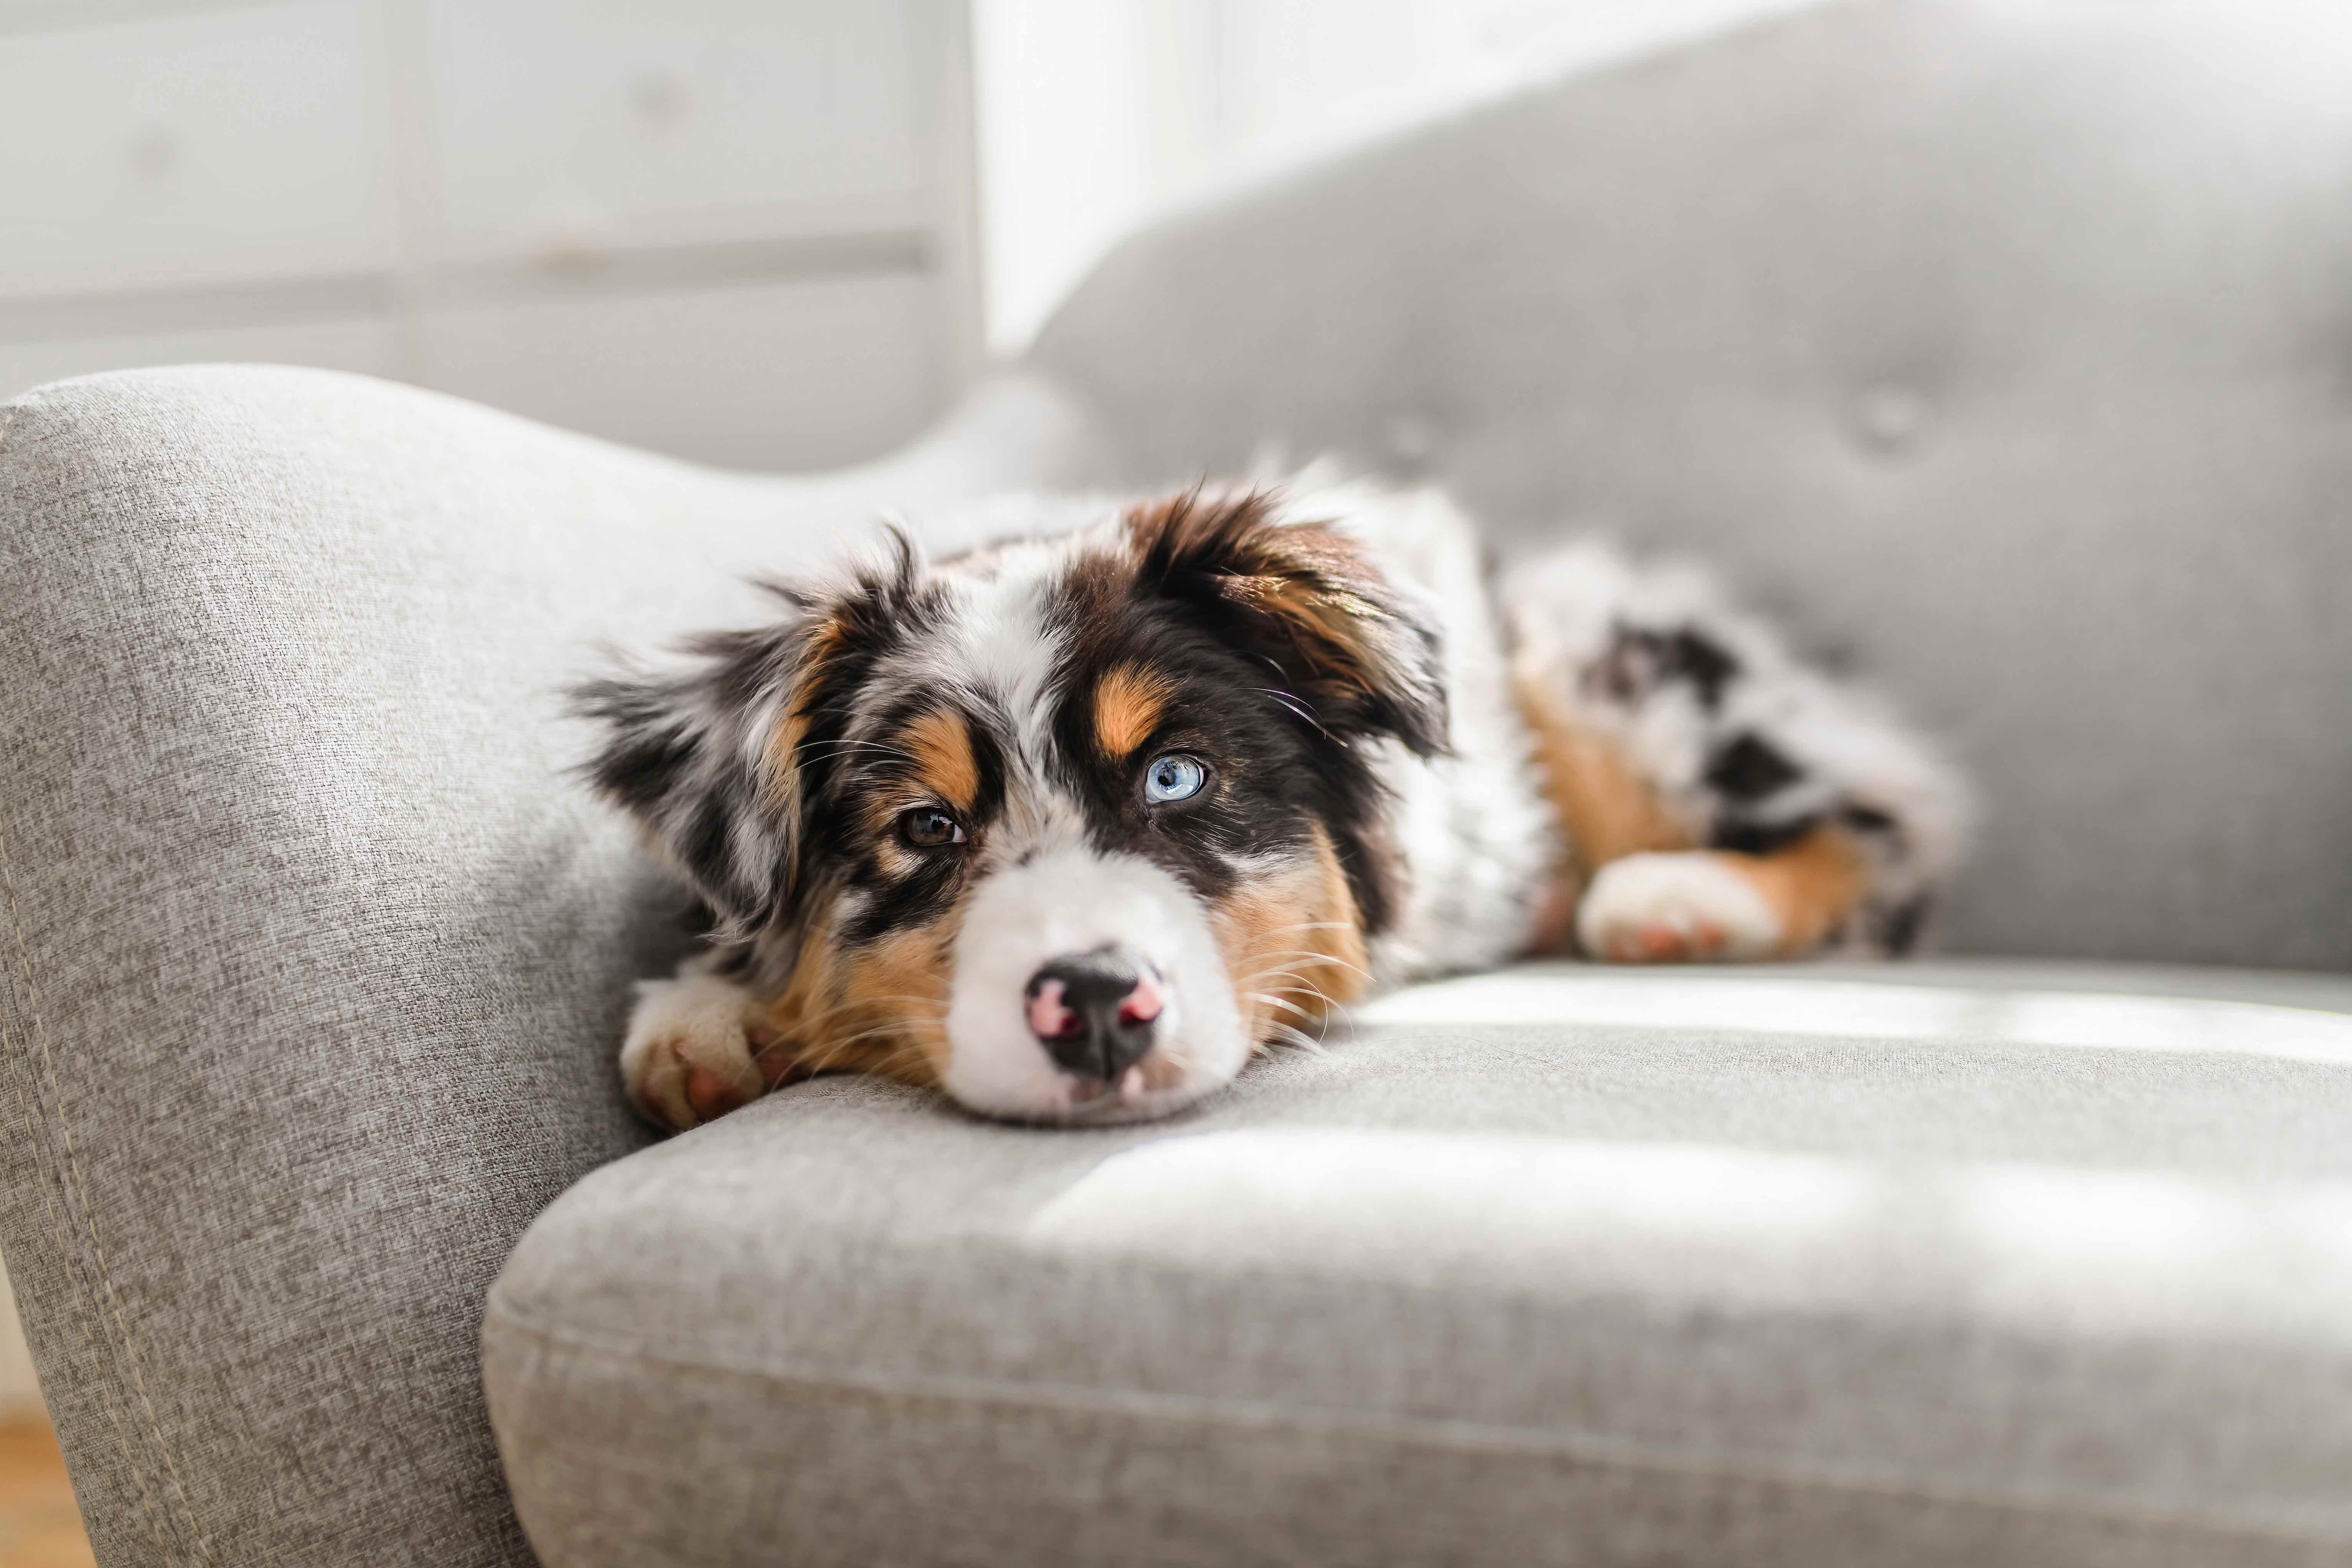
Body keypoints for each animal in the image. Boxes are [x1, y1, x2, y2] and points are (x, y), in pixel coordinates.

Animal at [574, 479, 1966, 1128]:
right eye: (927, 826)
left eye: (1176, 775)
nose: (1096, 1004)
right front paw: (708, 1016)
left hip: (1592, 648)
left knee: (1892, 828)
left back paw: (1671, 898)